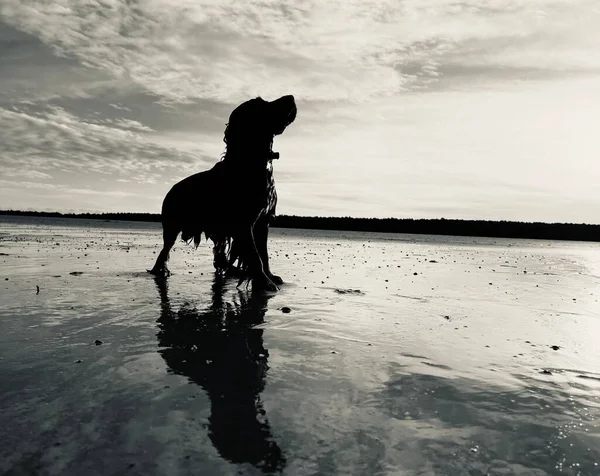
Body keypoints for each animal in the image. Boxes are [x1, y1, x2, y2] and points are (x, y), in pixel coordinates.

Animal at [149, 96, 296, 290]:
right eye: (261, 104)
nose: (291, 97)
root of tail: (171, 189)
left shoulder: (262, 221)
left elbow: (263, 255)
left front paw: (269, 276)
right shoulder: (244, 223)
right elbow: (256, 256)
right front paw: (265, 282)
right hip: (172, 226)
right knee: (164, 251)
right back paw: (161, 270)